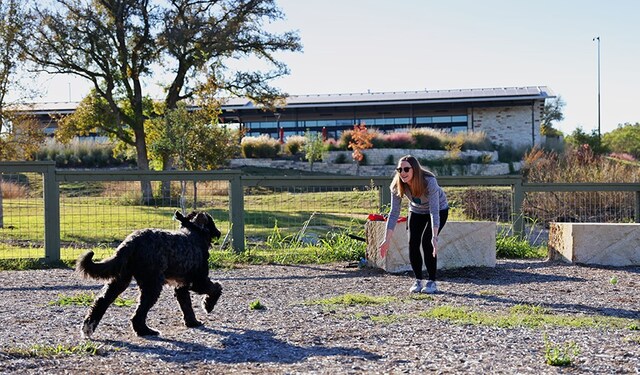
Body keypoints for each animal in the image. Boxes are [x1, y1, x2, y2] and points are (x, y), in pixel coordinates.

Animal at [76, 212, 222, 338]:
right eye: (212, 222)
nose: (219, 232)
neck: (194, 232)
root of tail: (131, 242)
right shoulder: (198, 281)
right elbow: (216, 287)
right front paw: (208, 305)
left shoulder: (181, 286)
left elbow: (187, 305)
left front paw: (193, 322)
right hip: (152, 284)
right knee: (139, 313)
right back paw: (145, 331)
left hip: (121, 279)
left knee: (102, 301)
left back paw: (88, 327)